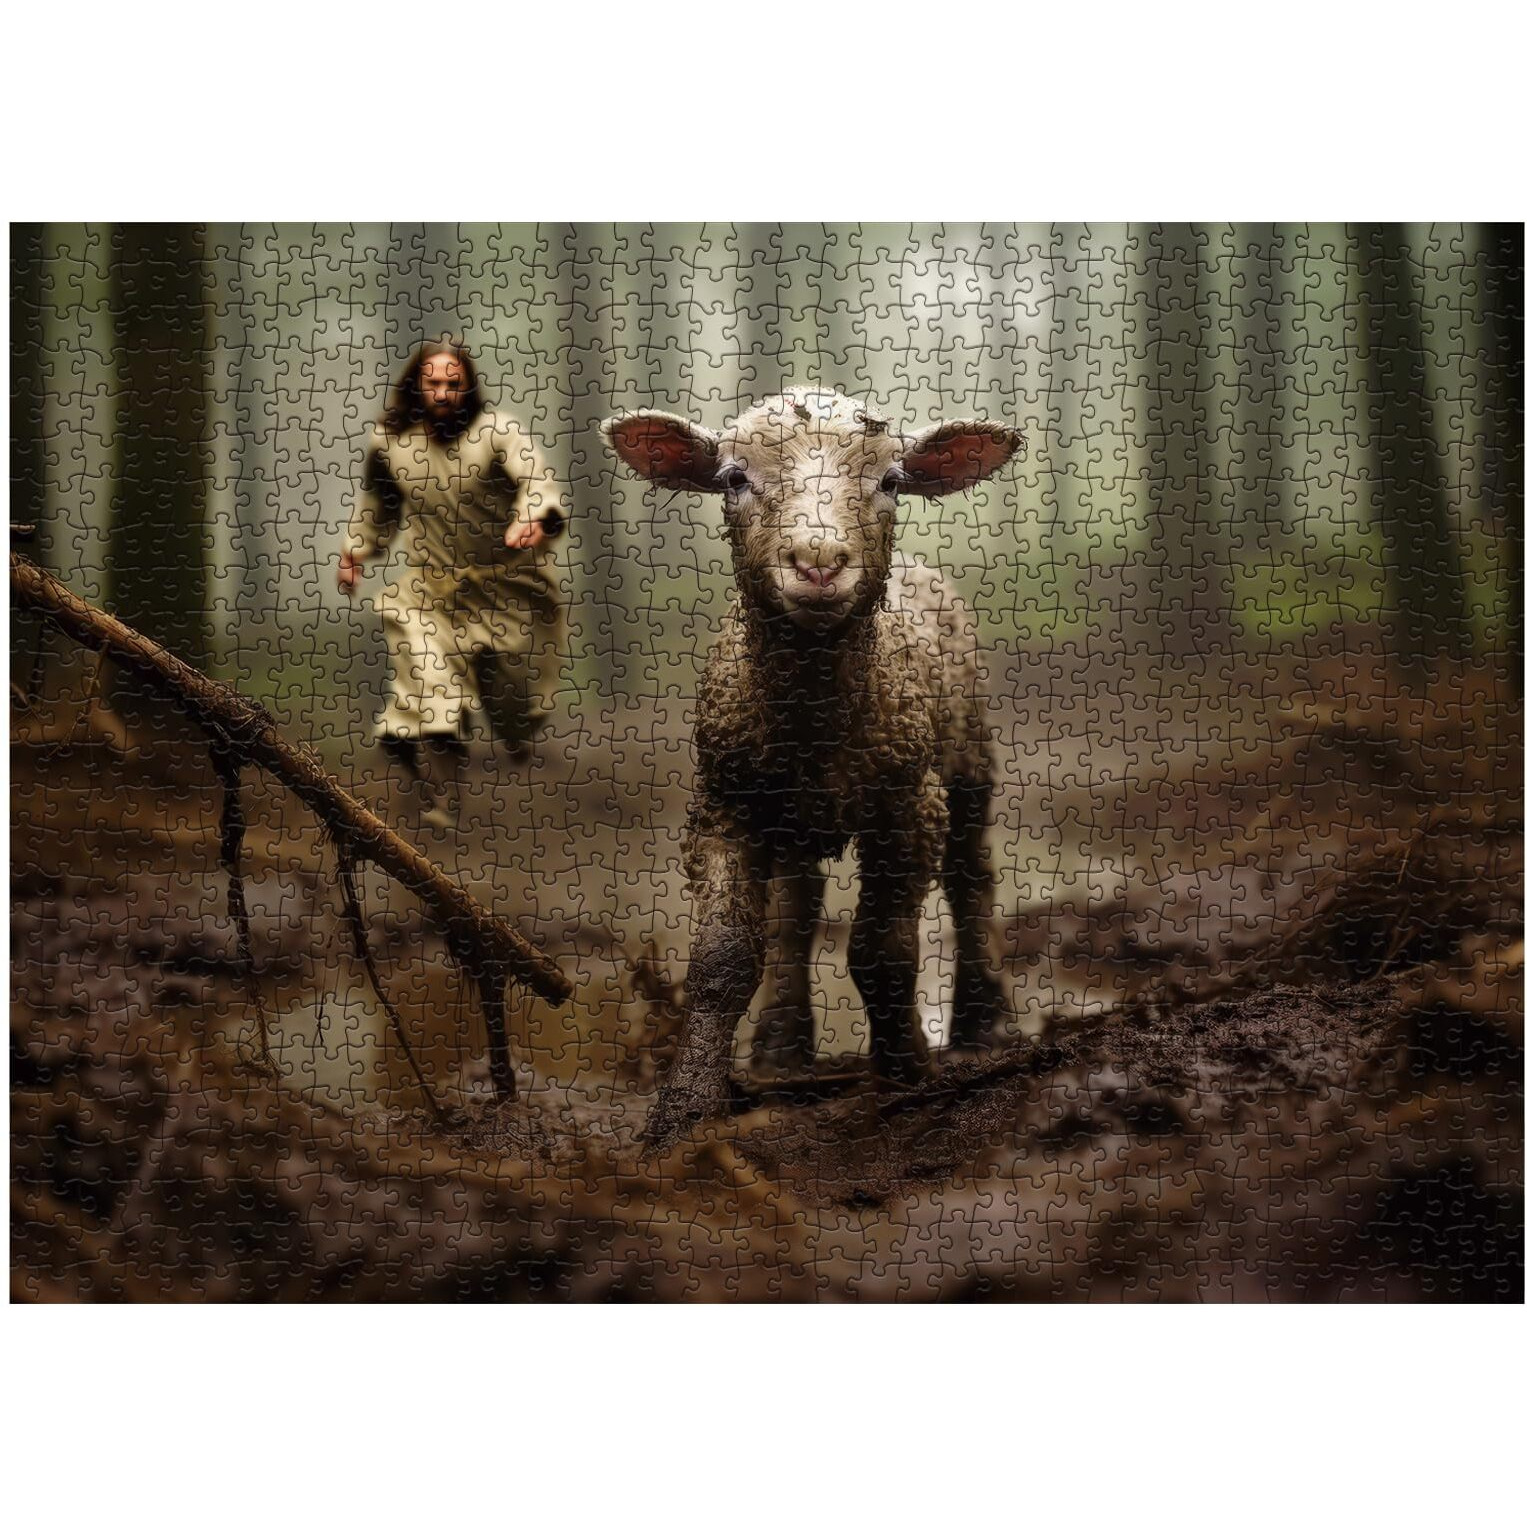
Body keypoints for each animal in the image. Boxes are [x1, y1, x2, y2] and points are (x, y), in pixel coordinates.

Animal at [602, 388, 1024, 1152]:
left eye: (892, 482)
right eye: (734, 478)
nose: (819, 561)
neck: (815, 711)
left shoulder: (908, 802)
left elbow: (882, 950)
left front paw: (905, 1071)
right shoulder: (723, 801)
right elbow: (723, 958)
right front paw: (683, 1109)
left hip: (970, 750)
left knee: (971, 874)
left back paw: (984, 1021)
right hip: (793, 815)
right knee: (793, 913)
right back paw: (780, 1047)